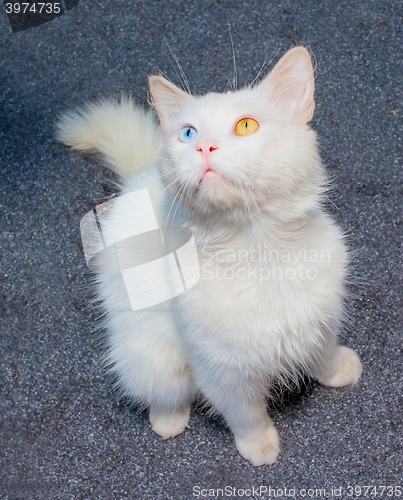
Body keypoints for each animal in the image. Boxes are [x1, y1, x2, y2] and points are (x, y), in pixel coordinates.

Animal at [56, 47, 362, 464]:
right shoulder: (221, 370)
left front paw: (341, 372)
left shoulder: (320, 319)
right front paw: (260, 449)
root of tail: (138, 178)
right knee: (162, 392)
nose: (204, 147)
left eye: (246, 126)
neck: (257, 250)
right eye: (188, 134)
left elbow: (324, 354)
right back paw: (168, 422)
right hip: (152, 354)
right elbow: (247, 415)